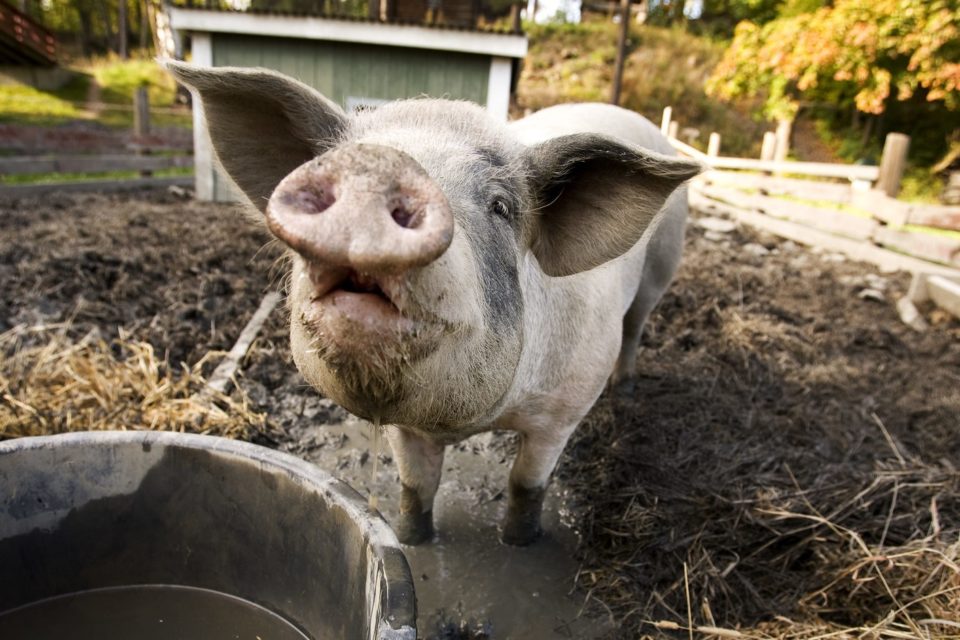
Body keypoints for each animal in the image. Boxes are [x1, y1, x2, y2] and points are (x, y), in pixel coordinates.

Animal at [165, 61, 700, 544]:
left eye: (501, 207)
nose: (378, 165)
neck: (465, 421)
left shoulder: (565, 407)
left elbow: (526, 484)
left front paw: (519, 542)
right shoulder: (406, 429)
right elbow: (415, 487)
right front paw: (413, 540)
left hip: (663, 264)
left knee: (637, 325)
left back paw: (626, 389)